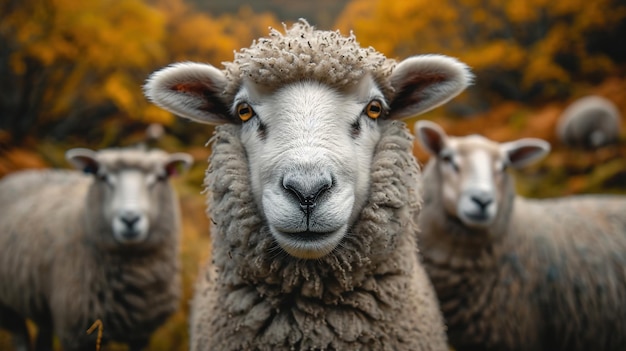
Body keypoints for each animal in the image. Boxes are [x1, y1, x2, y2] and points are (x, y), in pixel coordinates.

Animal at [0, 146, 193, 351]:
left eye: (158, 177)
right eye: (104, 177)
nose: (130, 219)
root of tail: (20, 175)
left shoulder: (141, 334)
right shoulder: (77, 333)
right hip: (7, 306)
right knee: (20, 336)